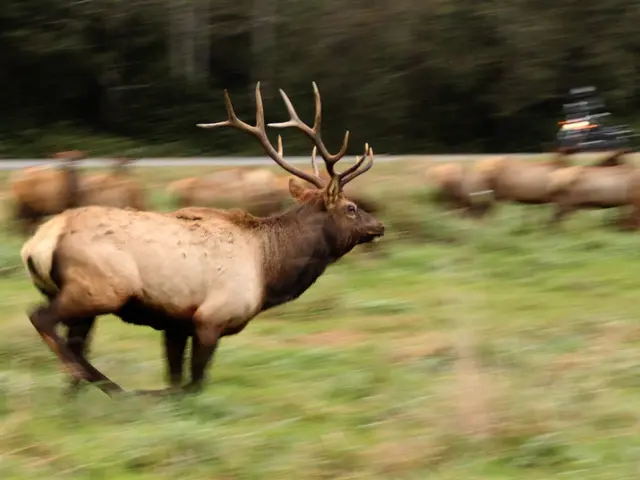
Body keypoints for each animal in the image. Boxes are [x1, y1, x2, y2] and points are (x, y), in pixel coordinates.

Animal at [20, 82, 384, 398]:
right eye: (351, 208)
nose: (379, 226)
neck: (269, 271)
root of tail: (38, 244)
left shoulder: (176, 323)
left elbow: (175, 378)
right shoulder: (210, 317)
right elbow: (195, 383)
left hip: (83, 300)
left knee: (76, 343)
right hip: (98, 290)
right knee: (42, 319)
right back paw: (106, 385)